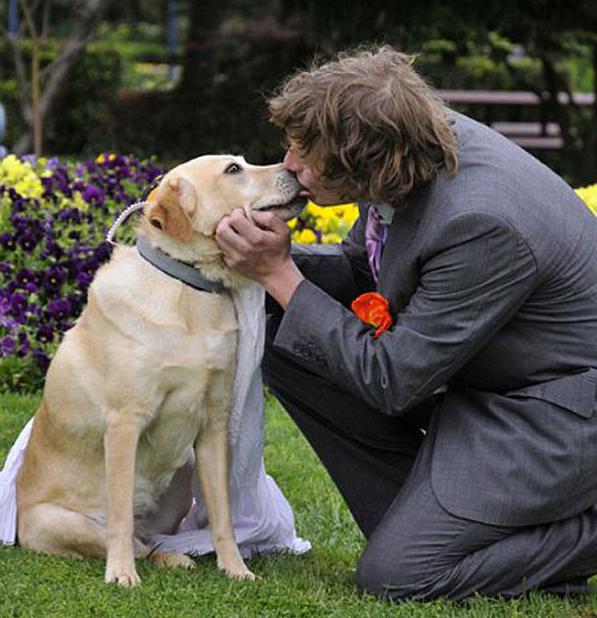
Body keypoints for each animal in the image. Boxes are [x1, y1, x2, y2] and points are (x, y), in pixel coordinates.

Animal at [16, 155, 304, 588]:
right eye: (233, 170)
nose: (295, 171)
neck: (190, 288)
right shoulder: (124, 424)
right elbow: (120, 517)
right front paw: (120, 574)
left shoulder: (214, 424)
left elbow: (223, 517)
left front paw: (236, 568)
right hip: (55, 520)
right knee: (129, 538)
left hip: (184, 472)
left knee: (150, 541)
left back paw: (175, 557)